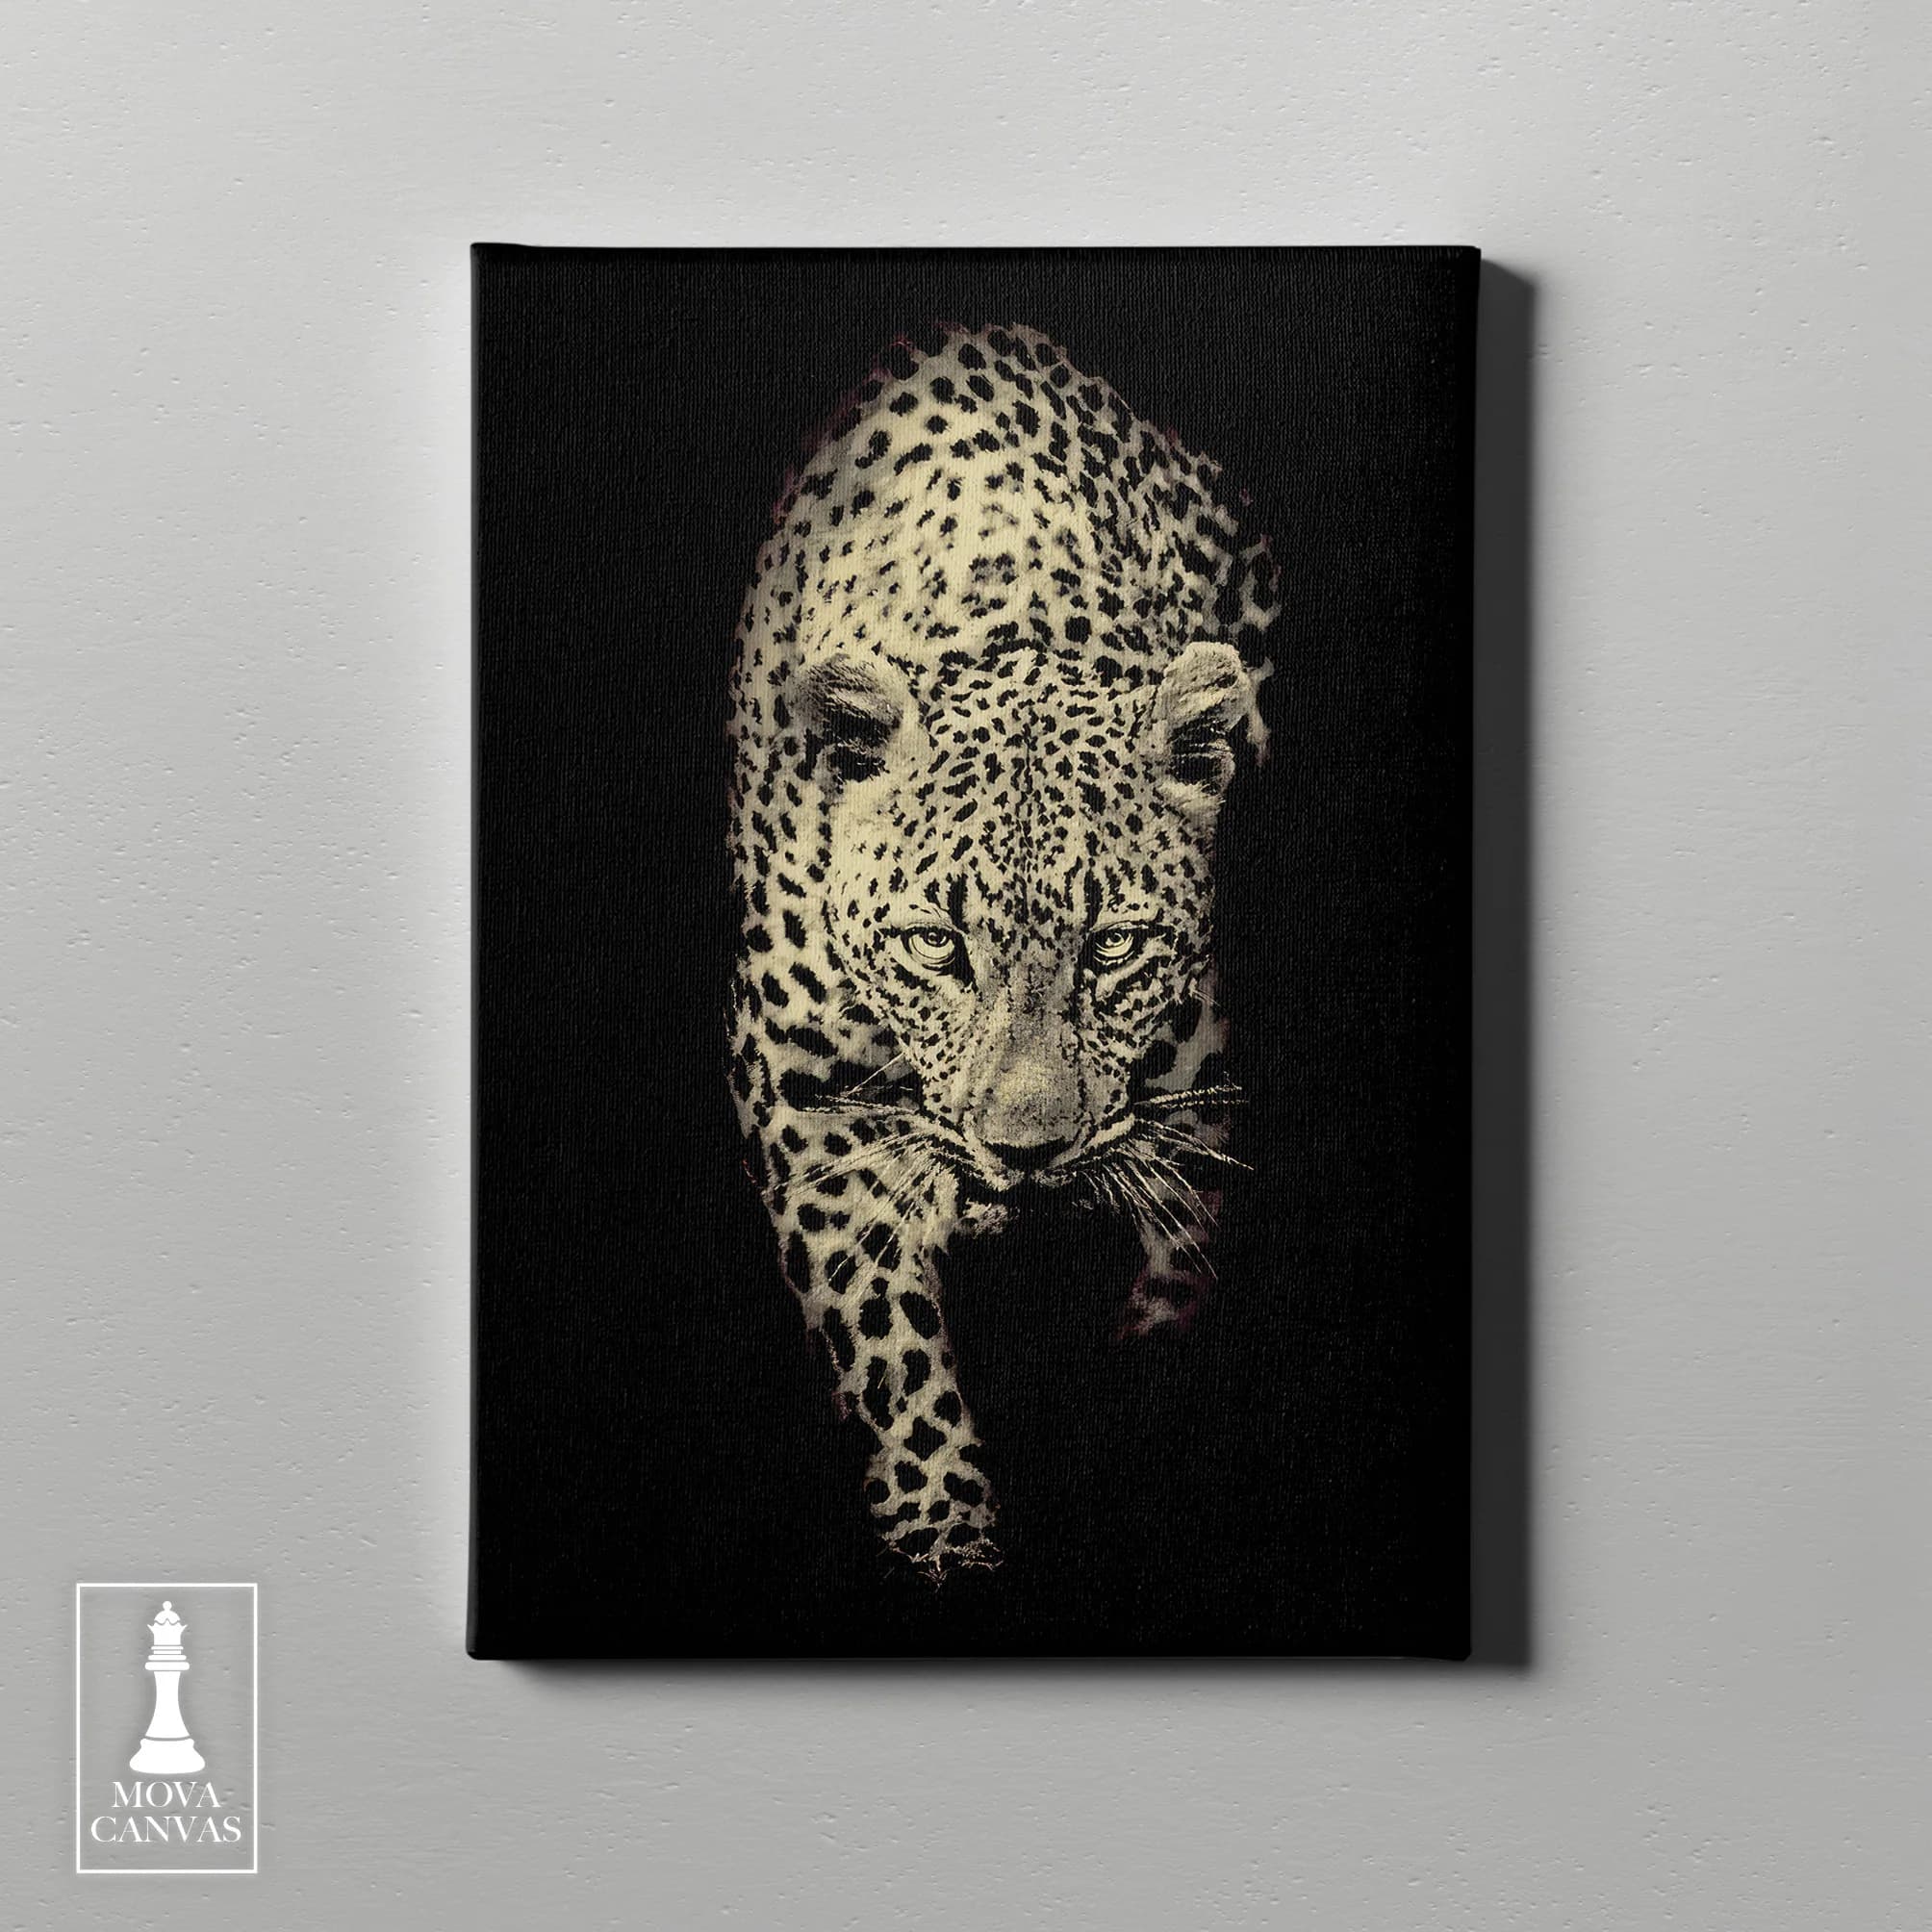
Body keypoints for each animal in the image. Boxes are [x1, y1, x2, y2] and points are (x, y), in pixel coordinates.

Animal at [725, 320, 1280, 1578]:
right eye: (936, 946)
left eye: (1113, 946)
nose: (1025, 1153)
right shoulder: (801, 1090)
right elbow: (885, 1344)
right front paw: (944, 1535)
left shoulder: (1194, 1106)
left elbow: (1170, 1295)